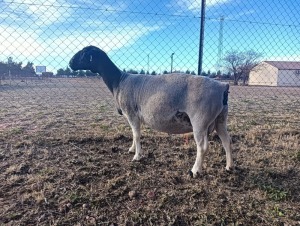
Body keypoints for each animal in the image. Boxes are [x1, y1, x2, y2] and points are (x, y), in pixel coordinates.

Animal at [69, 45, 234, 177]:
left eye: (84, 53)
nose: (70, 63)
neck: (119, 81)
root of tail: (222, 86)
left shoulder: (132, 113)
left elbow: (136, 135)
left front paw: (137, 156)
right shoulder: (133, 116)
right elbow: (134, 134)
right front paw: (132, 149)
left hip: (200, 120)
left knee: (203, 147)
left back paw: (195, 171)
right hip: (220, 118)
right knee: (227, 141)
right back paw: (229, 167)